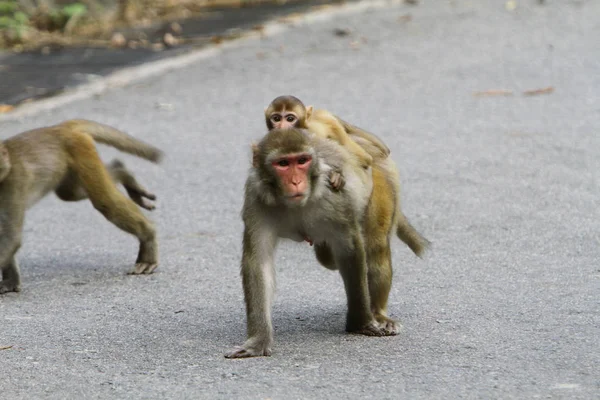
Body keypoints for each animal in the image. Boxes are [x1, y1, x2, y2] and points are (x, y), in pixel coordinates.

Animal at [0, 119, 164, 294]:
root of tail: (58, 128)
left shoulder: (13, 183)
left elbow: (11, 237)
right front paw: (10, 282)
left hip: (81, 150)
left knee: (104, 200)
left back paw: (147, 239)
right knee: (70, 193)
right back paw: (121, 170)